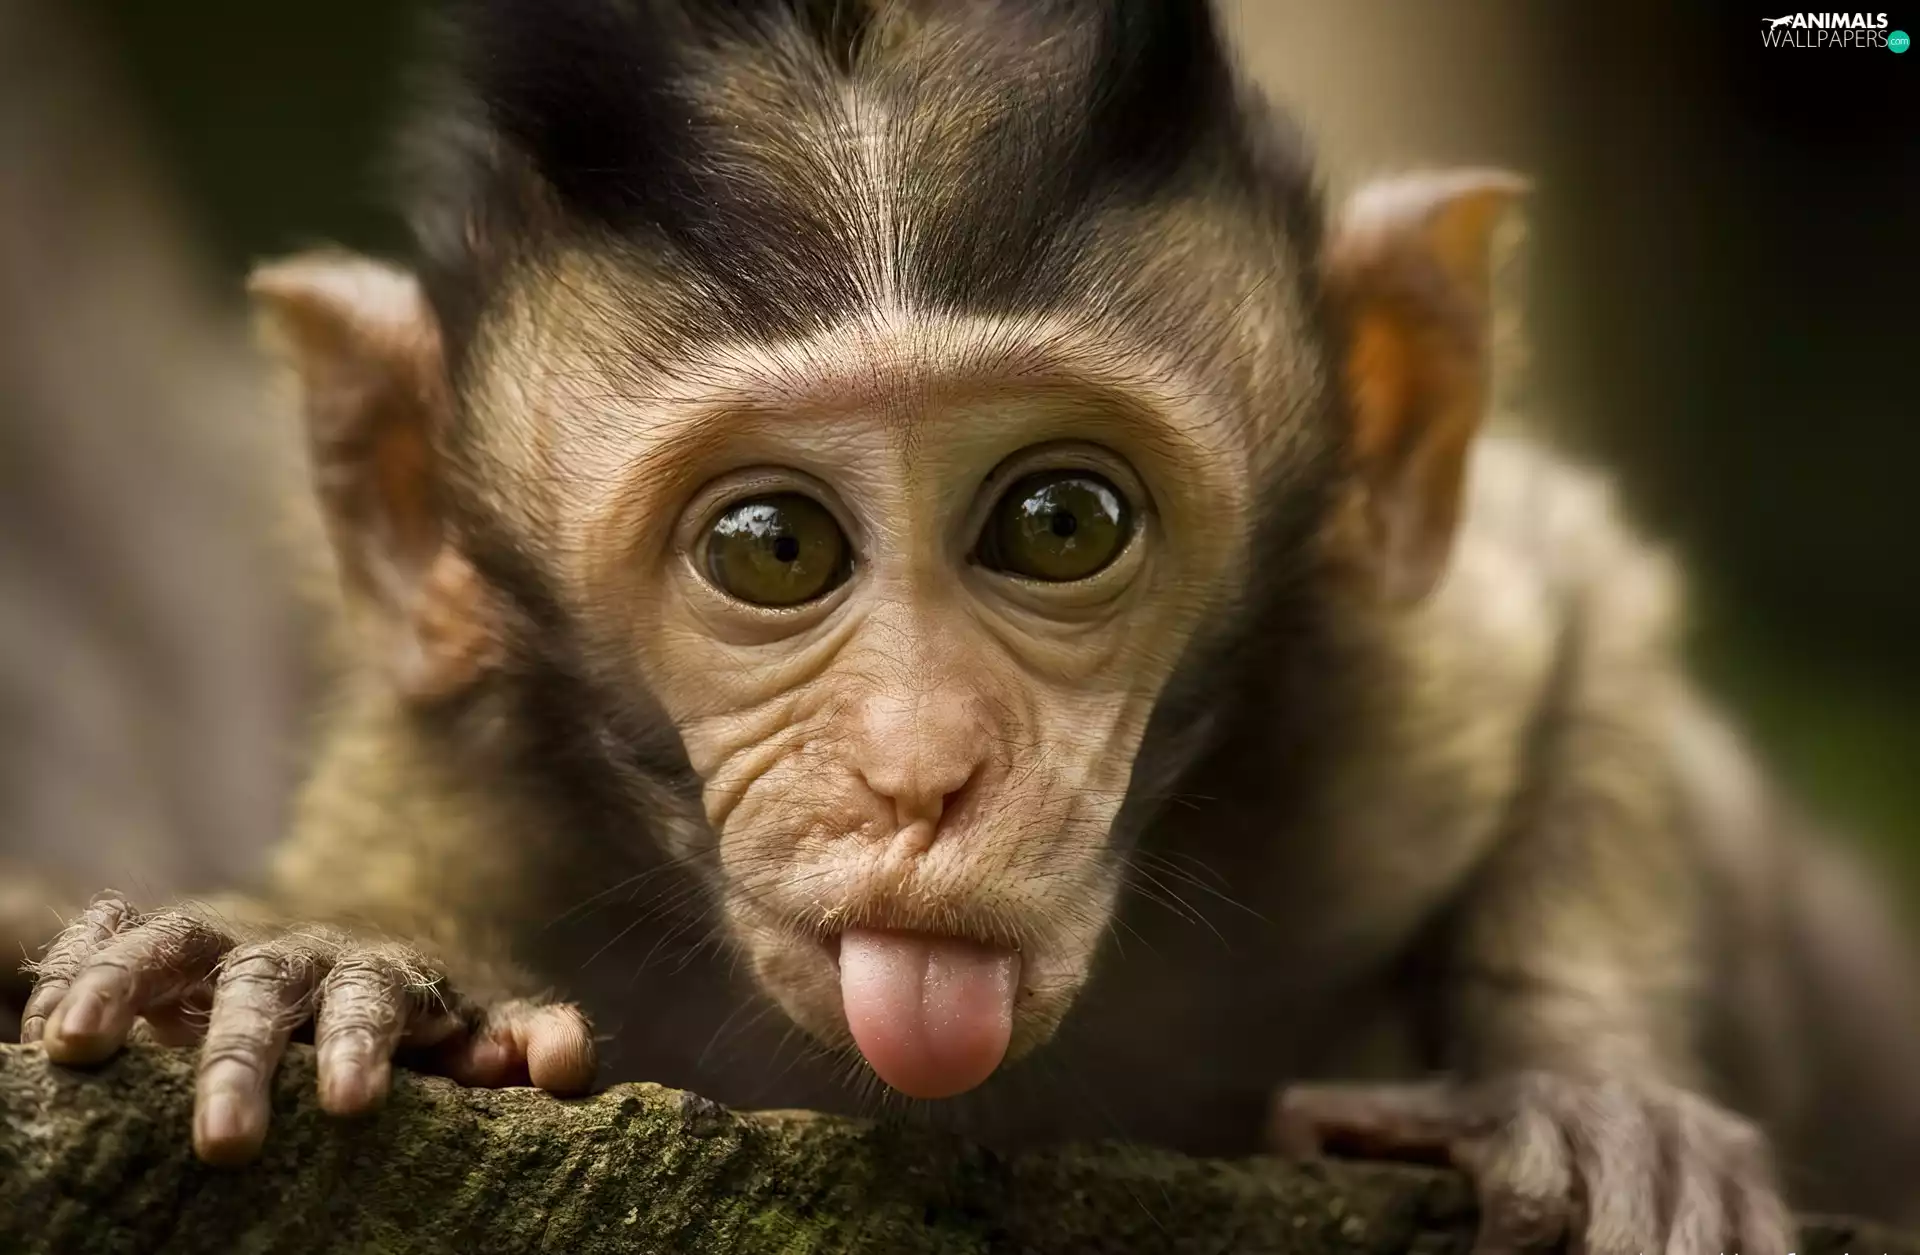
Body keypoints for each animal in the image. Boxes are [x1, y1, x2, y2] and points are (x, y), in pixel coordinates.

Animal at [17, 0, 1920, 1249]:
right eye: (773, 547)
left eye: (1059, 523)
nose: (920, 773)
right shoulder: (464, 785)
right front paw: (325, 961)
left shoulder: (1392, 708)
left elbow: (1580, 600)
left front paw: (1586, 1090)